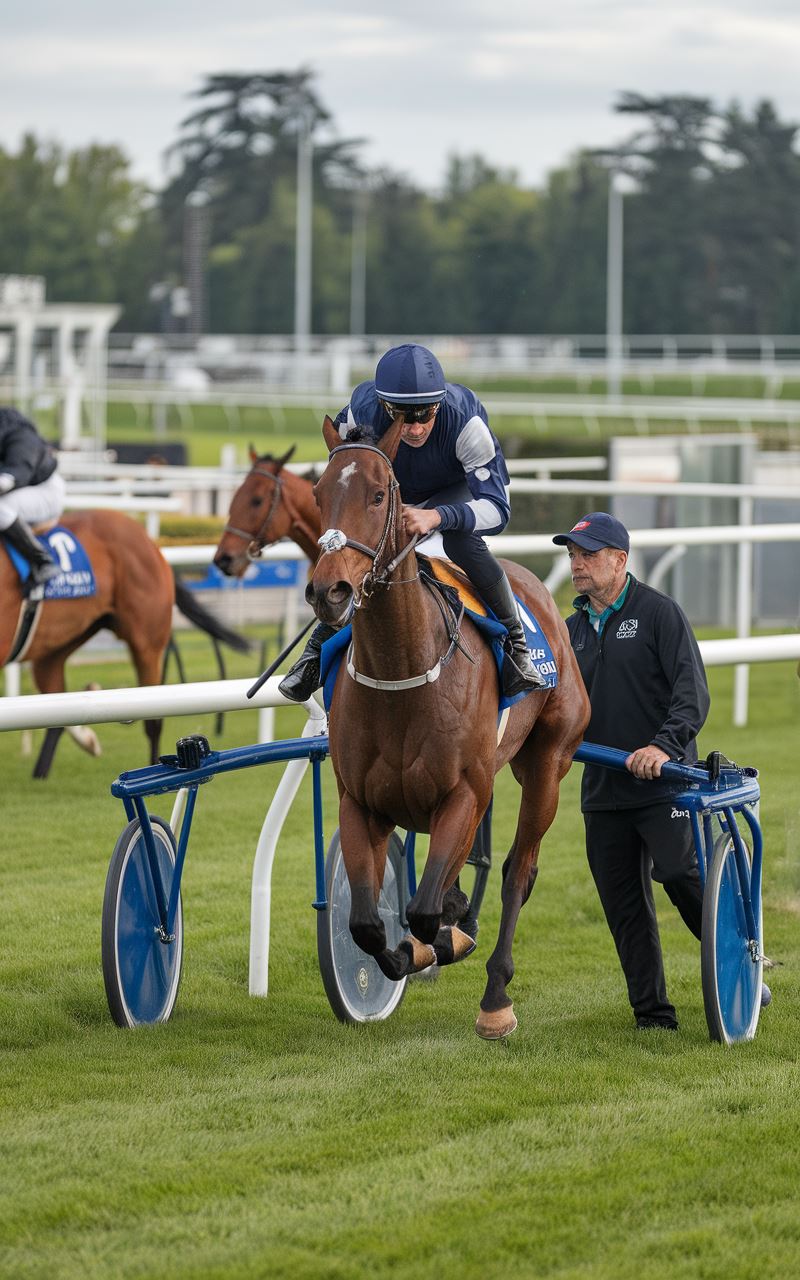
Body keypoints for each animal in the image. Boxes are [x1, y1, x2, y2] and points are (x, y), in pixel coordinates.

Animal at [308, 419, 588, 1039]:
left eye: (379, 495)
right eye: (317, 493)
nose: (329, 591)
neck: (402, 670)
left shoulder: (463, 791)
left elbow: (422, 909)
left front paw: (442, 938)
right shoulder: (360, 800)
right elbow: (368, 922)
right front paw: (406, 954)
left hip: (548, 764)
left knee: (517, 872)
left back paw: (495, 998)